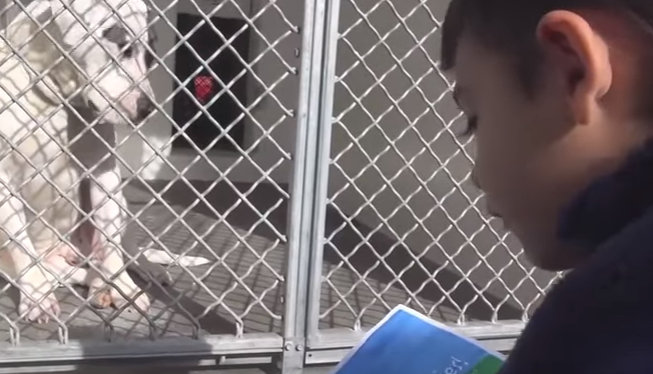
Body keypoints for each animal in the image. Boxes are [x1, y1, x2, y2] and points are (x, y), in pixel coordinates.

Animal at [0, 0, 206, 322]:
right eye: (123, 48)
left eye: (150, 57)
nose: (148, 109)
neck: (55, 100)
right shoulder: (4, 182)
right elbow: (20, 244)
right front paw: (38, 297)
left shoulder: (103, 174)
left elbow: (110, 244)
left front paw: (125, 287)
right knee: (70, 271)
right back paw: (93, 284)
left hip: (121, 204)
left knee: (125, 249)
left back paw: (143, 270)